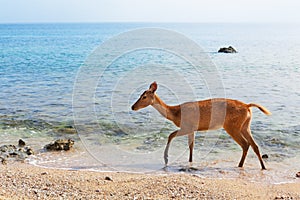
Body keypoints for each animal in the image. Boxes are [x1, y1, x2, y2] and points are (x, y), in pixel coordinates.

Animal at [131, 82, 272, 170]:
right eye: (140, 95)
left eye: (144, 96)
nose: (133, 107)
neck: (175, 113)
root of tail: (248, 106)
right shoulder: (192, 129)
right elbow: (191, 145)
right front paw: (190, 161)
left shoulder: (188, 126)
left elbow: (170, 135)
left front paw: (166, 159)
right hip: (245, 125)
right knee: (254, 145)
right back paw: (262, 167)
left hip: (232, 126)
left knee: (245, 144)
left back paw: (240, 165)